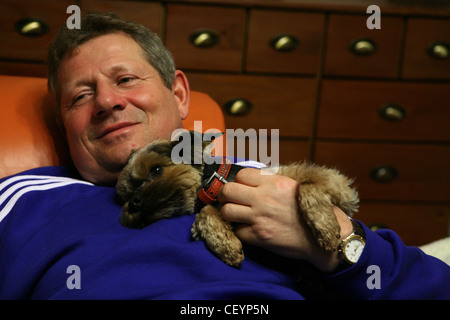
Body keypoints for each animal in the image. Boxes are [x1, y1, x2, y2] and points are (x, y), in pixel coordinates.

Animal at [116, 131, 358, 268]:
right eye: (126, 195)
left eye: (156, 170)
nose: (134, 202)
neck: (216, 182)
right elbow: (207, 213)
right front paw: (226, 245)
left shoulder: (335, 183)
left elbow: (306, 187)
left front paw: (325, 229)